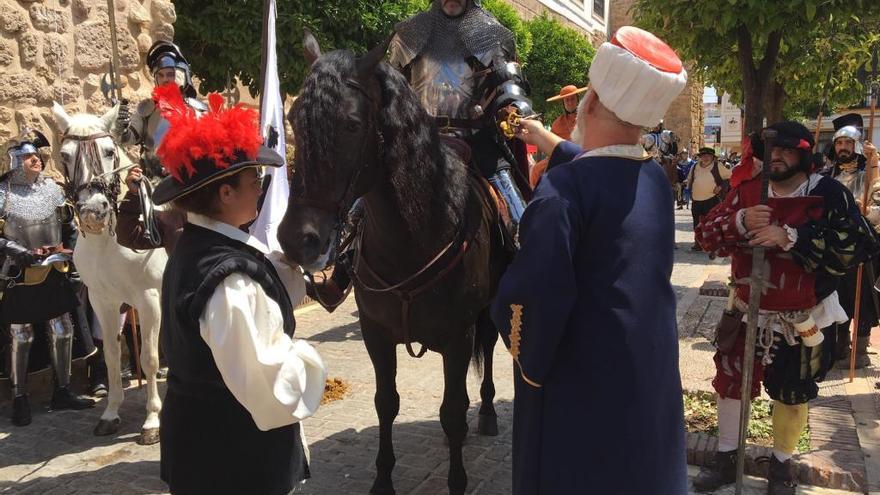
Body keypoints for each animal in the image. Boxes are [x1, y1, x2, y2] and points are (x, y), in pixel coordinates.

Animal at [52, 103, 168, 446]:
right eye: (64, 154)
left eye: (108, 151)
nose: (94, 211)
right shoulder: (103, 302)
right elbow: (112, 354)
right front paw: (111, 412)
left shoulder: (149, 300)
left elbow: (149, 358)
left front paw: (152, 420)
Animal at [276, 33, 508, 494]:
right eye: (293, 117)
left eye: (351, 124)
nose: (297, 239)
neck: (414, 238)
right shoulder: (376, 334)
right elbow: (386, 403)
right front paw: (383, 478)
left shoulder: (458, 335)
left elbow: (453, 410)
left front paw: (457, 479)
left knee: (488, 350)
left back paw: (489, 412)